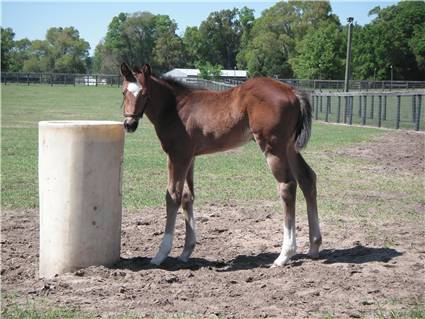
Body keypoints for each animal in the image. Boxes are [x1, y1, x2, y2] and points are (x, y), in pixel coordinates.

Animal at [120, 62, 322, 268]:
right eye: (124, 92)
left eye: (145, 93)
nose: (129, 124)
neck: (175, 108)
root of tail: (292, 90)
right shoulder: (190, 157)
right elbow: (187, 197)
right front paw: (186, 251)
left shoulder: (177, 155)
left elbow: (173, 196)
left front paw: (160, 254)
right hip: (289, 147)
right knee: (307, 178)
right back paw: (314, 246)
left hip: (274, 148)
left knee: (287, 186)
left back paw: (284, 255)